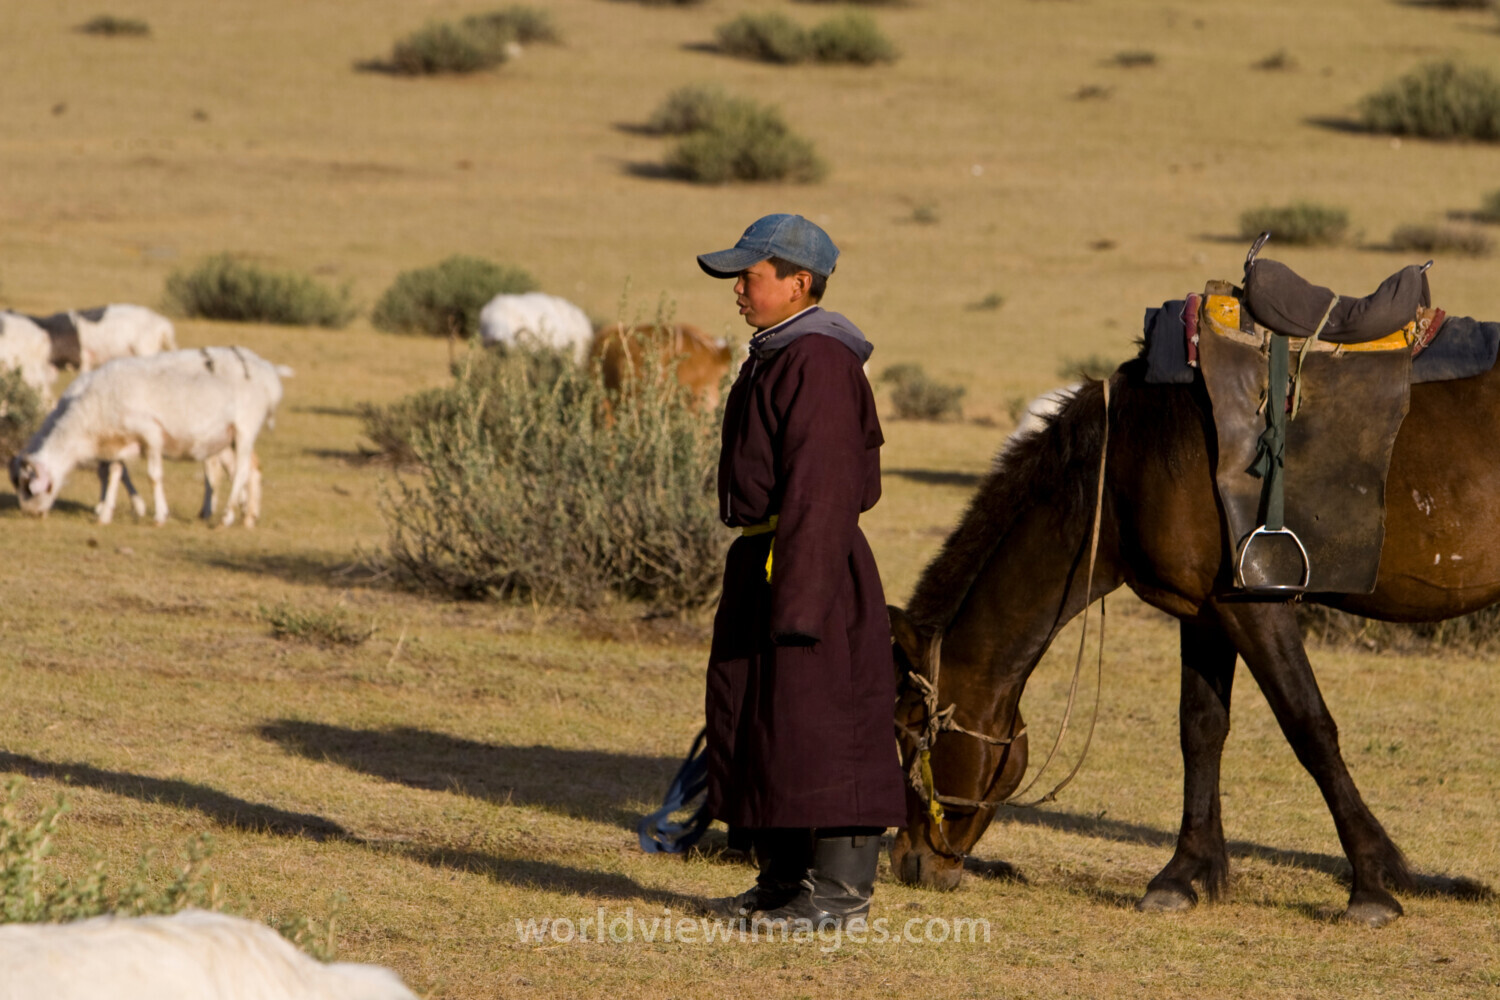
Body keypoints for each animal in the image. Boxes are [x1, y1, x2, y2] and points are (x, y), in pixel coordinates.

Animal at [9, 347, 290, 527]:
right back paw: (248, 516)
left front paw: (158, 515)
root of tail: (269, 372)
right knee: (248, 469)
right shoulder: (118, 442)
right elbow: (114, 474)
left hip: (245, 427)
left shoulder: (151, 433)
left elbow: (153, 476)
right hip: (226, 437)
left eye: (29, 489)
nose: (30, 515)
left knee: (241, 471)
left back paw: (227, 517)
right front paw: (105, 514)